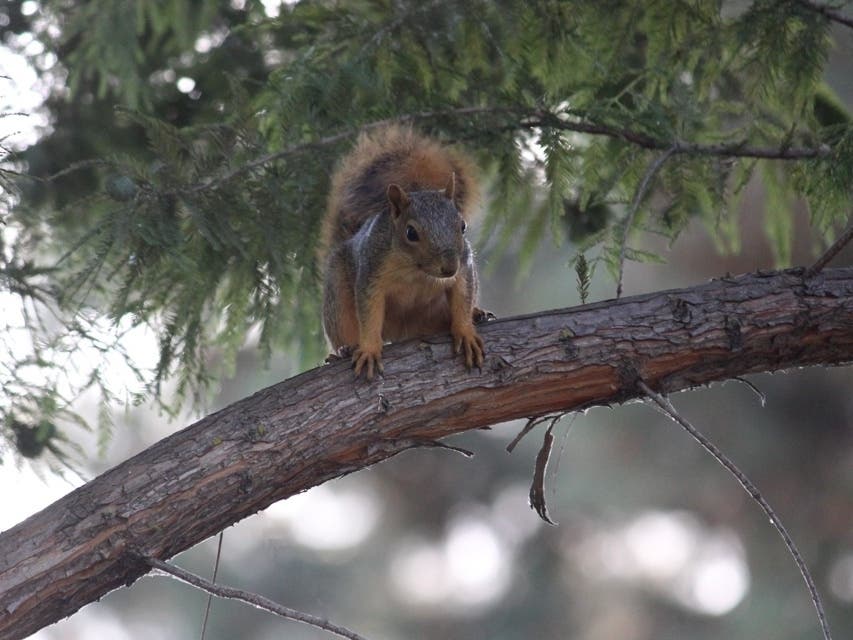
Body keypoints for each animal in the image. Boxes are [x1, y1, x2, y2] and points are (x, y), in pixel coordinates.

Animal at [319, 125, 485, 379]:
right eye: (411, 233)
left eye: (462, 226)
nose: (449, 268)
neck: (416, 270)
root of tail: (402, 331)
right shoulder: (372, 271)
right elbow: (369, 312)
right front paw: (369, 349)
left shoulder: (464, 266)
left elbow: (462, 296)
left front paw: (466, 332)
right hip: (338, 294)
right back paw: (344, 350)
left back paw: (476, 314)